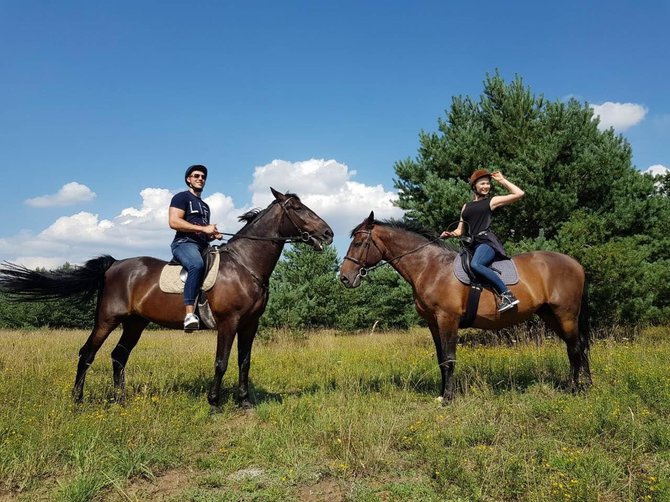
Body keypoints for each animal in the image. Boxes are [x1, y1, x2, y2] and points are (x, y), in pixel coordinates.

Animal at [0, 188, 336, 408]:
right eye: (296, 207)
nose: (328, 233)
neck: (245, 265)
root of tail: (114, 264)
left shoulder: (250, 324)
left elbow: (244, 362)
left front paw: (245, 403)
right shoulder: (229, 322)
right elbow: (222, 362)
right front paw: (214, 402)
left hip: (135, 323)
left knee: (118, 356)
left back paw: (121, 400)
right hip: (108, 319)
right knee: (87, 354)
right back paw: (78, 400)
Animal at [342, 211, 592, 400]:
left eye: (359, 242)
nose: (344, 277)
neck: (430, 267)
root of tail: (576, 264)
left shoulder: (448, 319)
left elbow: (450, 358)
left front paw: (448, 398)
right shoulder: (433, 323)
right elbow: (441, 359)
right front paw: (441, 394)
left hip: (566, 315)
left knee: (575, 348)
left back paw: (573, 388)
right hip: (550, 314)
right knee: (578, 346)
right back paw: (587, 385)